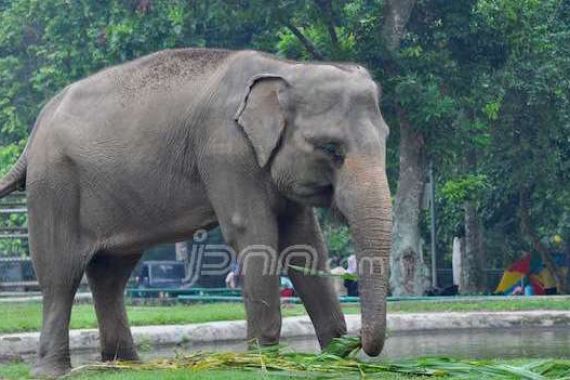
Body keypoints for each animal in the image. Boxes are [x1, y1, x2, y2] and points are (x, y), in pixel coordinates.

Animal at [0, 48, 390, 378]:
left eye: (387, 138)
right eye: (331, 148)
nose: (360, 340)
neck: (286, 68)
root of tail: (37, 127)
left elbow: (304, 242)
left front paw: (336, 357)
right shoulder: (225, 150)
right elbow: (253, 232)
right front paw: (262, 362)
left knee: (111, 273)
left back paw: (124, 364)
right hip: (55, 184)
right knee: (60, 274)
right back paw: (53, 371)